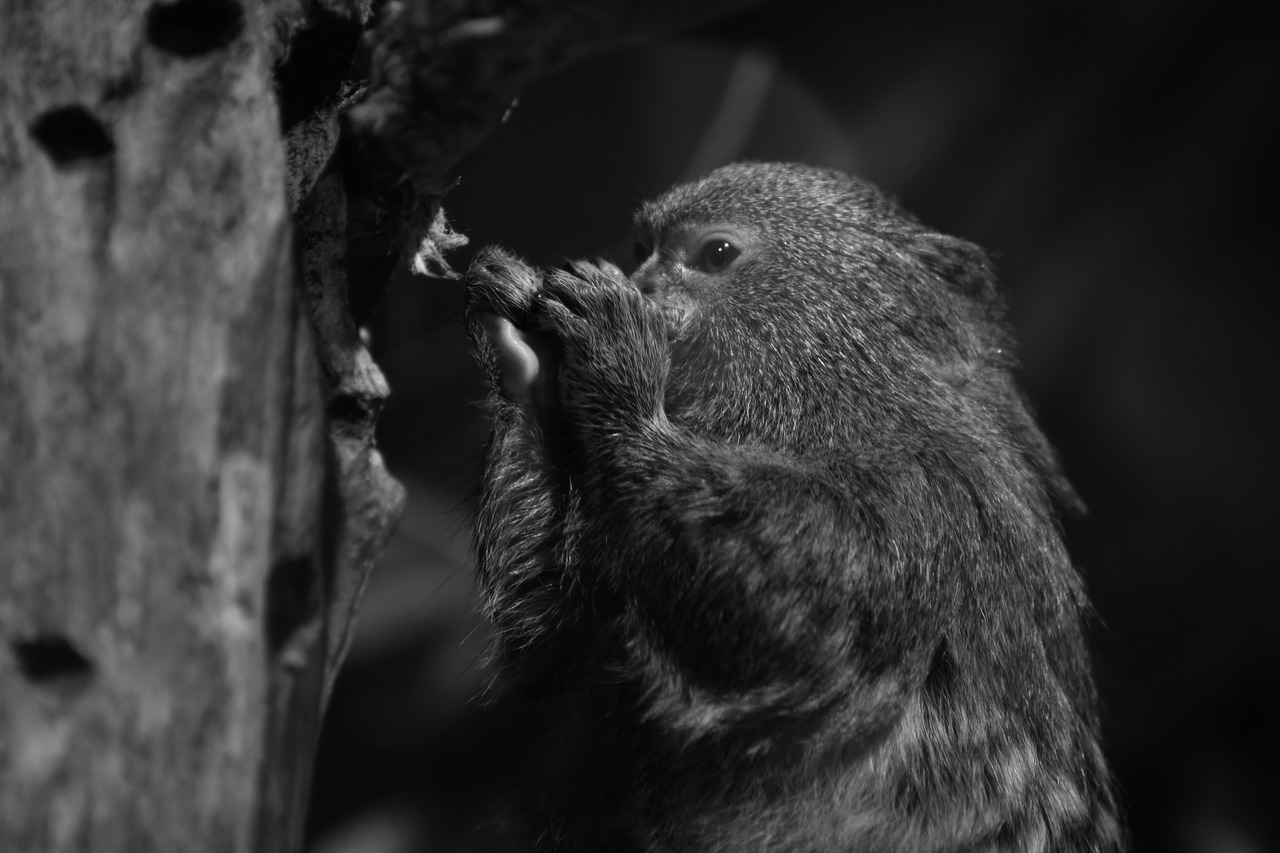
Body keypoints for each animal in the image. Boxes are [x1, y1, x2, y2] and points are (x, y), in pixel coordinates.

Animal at [463, 161, 1121, 850]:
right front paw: (525, 358)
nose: (641, 284)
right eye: (642, 250)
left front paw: (622, 378)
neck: (834, 407)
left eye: (715, 254)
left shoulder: (929, 501)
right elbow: (554, 649)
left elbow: (790, 619)